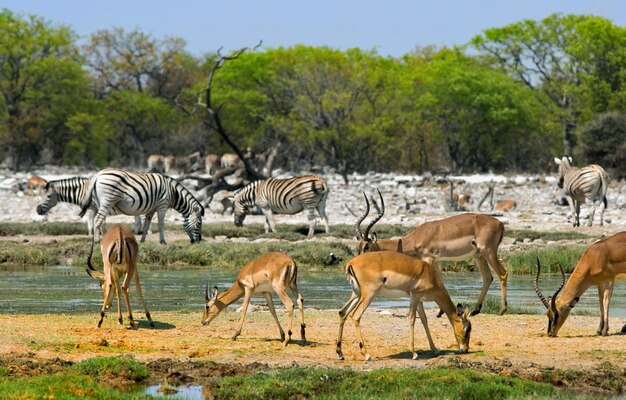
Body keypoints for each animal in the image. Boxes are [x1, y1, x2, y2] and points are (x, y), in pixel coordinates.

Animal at [336, 253, 468, 362]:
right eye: (467, 329)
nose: (465, 349)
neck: (429, 275)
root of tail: (351, 263)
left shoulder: (419, 301)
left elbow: (424, 320)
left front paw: (435, 349)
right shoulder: (414, 296)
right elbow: (412, 318)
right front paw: (414, 353)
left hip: (357, 294)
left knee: (342, 312)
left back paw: (340, 354)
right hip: (368, 295)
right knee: (355, 316)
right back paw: (367, 355)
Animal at [354, 190, 504, 316]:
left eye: (367, 246)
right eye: (358, 246)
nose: (358, 262)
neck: (416, 237)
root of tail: (500, 223)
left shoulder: (429, 258)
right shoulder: (437, 261)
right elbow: (441, 282)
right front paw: (441, 312)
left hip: (489, 252)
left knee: (502, 274)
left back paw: (502, 310)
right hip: (478, 256)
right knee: (488, 277)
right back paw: (475, 310)